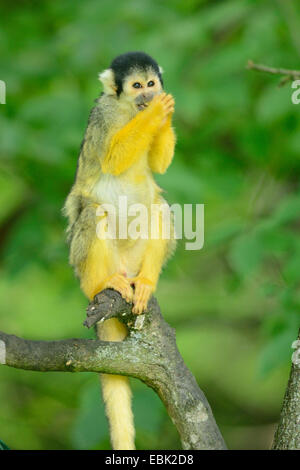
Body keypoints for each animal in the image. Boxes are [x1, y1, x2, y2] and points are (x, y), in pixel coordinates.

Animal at [63, 52, 176, 452]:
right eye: (136, 86)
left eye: (151, 83)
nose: (149, 96)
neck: (128, 110)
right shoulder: (103, 114)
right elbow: (111, 157)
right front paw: (155, 114)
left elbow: (159, 166)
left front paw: (164, 113)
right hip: (86, 263)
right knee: (91, 212)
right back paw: (103, 283)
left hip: (134, 259)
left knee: (158, 206)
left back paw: (145, 282)